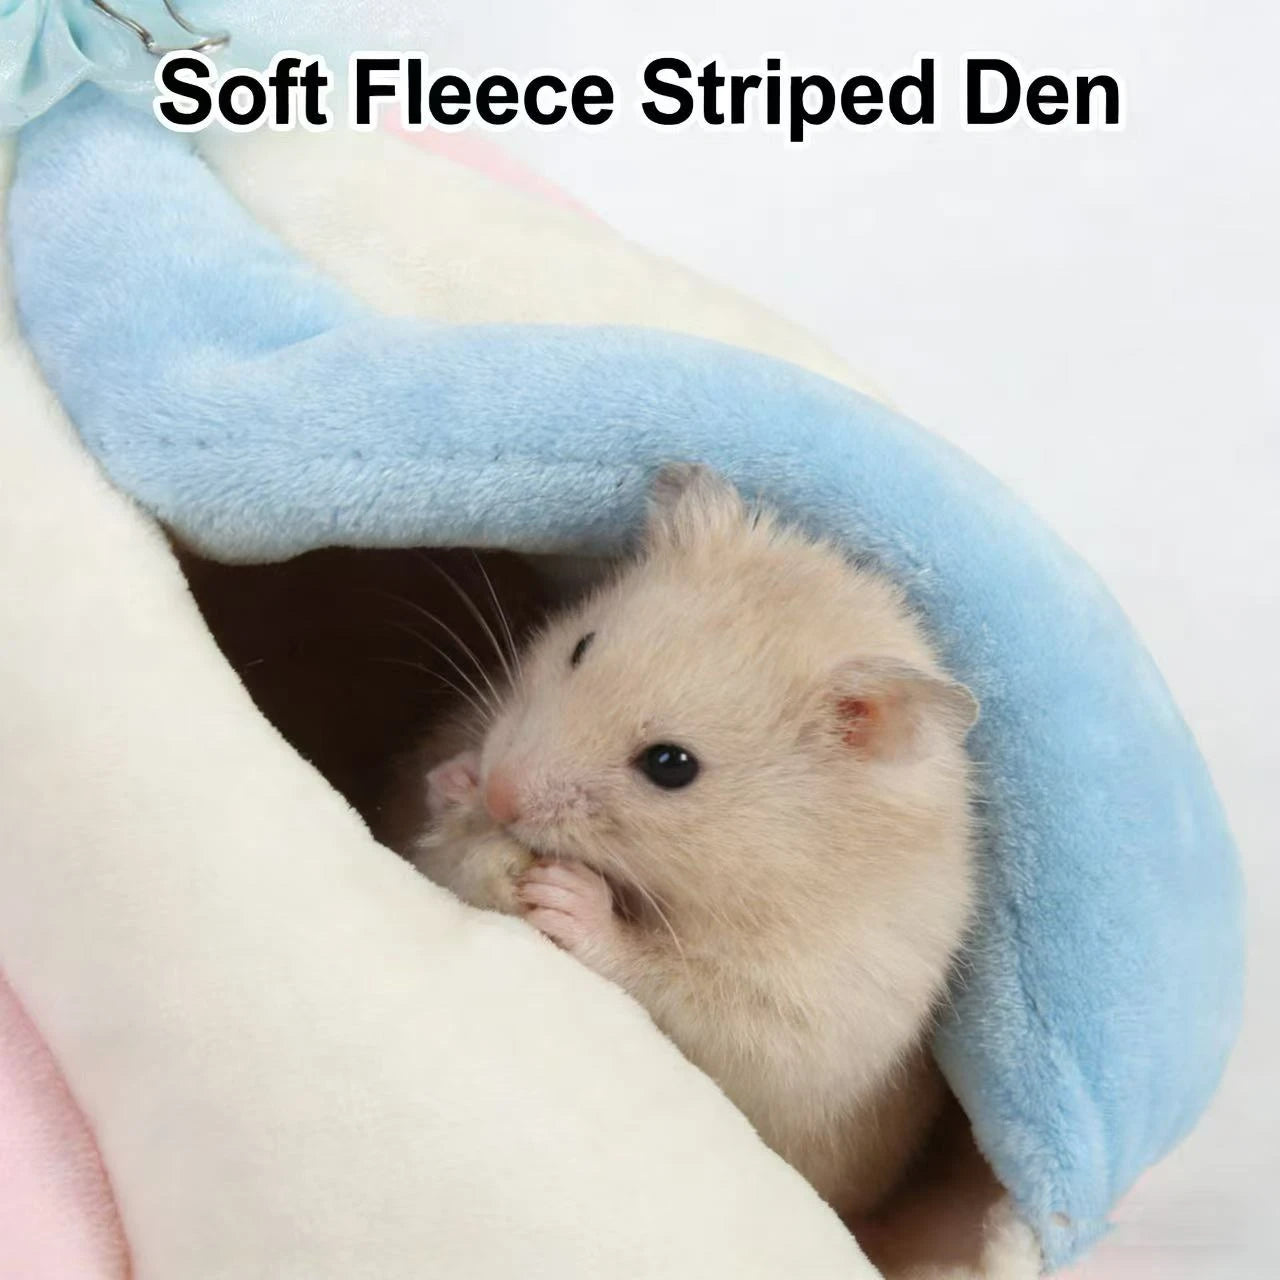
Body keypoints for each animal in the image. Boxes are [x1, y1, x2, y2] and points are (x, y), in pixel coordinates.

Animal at [392, 464, 980, 1225]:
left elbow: (673, 987)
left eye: (671, 765)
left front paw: (566, 895)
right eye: (580, 646)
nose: (498, 793)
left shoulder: (798, 1019)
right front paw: (457, 781)